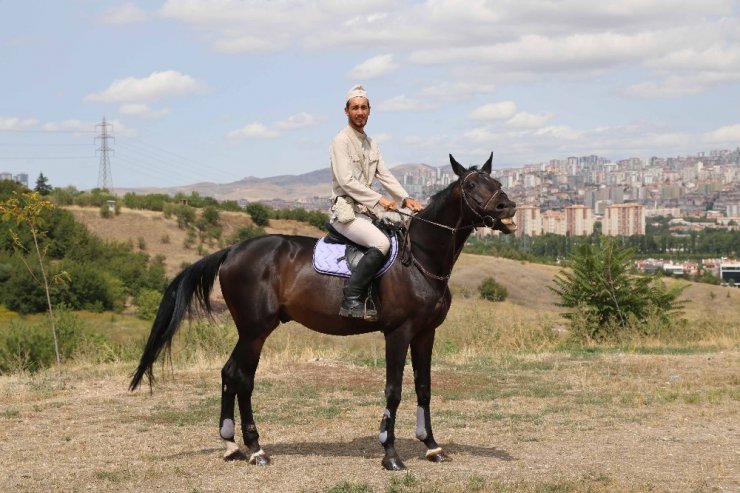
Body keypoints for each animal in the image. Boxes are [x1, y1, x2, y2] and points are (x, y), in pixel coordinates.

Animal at [130, 154, 516, 468]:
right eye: (470, 185)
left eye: (497, 182)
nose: (508, 208)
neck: (420, 259)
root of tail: (233, 250)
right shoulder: (398, 332)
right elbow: (393, 390)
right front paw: (390, 455)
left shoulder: (425, 333)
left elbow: (424, 387)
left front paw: (433, 447)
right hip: (255, 330)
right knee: (242, 378)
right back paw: (256, 449)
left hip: (251, 330)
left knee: (229, 373)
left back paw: (231, 446)